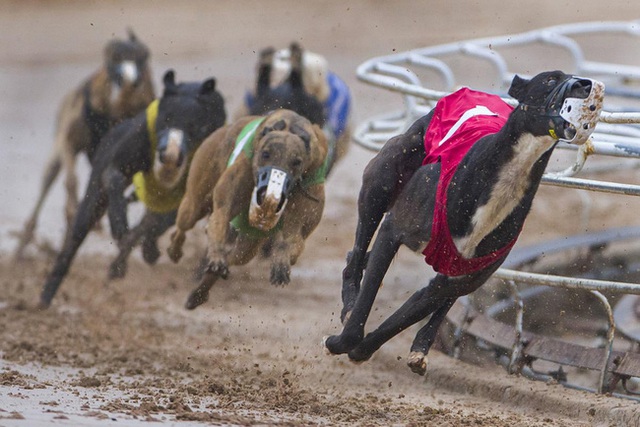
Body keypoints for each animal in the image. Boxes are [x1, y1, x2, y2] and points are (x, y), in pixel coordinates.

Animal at [14, 30, 155, 260]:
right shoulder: (70, 141)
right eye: (113, 56)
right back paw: (25, 241)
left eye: (144, 57)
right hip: (58, 148)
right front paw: (73, 209)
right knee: (49, 178)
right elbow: (71, 182)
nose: (130, 81)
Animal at [38, 70, 226, 308]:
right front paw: (119, 222)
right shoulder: (118, 163)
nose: (170, 155)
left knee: (150, 224)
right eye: (165, 119)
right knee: (77, 233)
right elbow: (114, 179)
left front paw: (146, 247)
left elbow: (154, 224)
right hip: (92, 201)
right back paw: (47, 293)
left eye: (195, 125)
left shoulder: (185, 199)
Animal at [166, 109, 324, 310]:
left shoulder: (303, 214)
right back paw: (175, 249)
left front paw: (280, 263)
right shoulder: (227, 201)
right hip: (196, 199)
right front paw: (216, 256)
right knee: (185, 223)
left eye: (296, 162)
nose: (268, 194)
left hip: (248, 244)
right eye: (265, 154)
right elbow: (221, 217)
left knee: (237, 256)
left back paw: (199, 293)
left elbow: (292, 241)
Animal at [324, 69, 604, 374]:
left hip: (461, 272)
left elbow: (406, 314)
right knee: (356, 254)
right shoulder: (393, 229)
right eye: (552, 79)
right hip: (383, 177)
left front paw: (363, 349)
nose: (585, 84)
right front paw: (343, 340)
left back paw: (420, 348)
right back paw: (350, 302)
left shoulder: (461, 278)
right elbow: (367, 303)